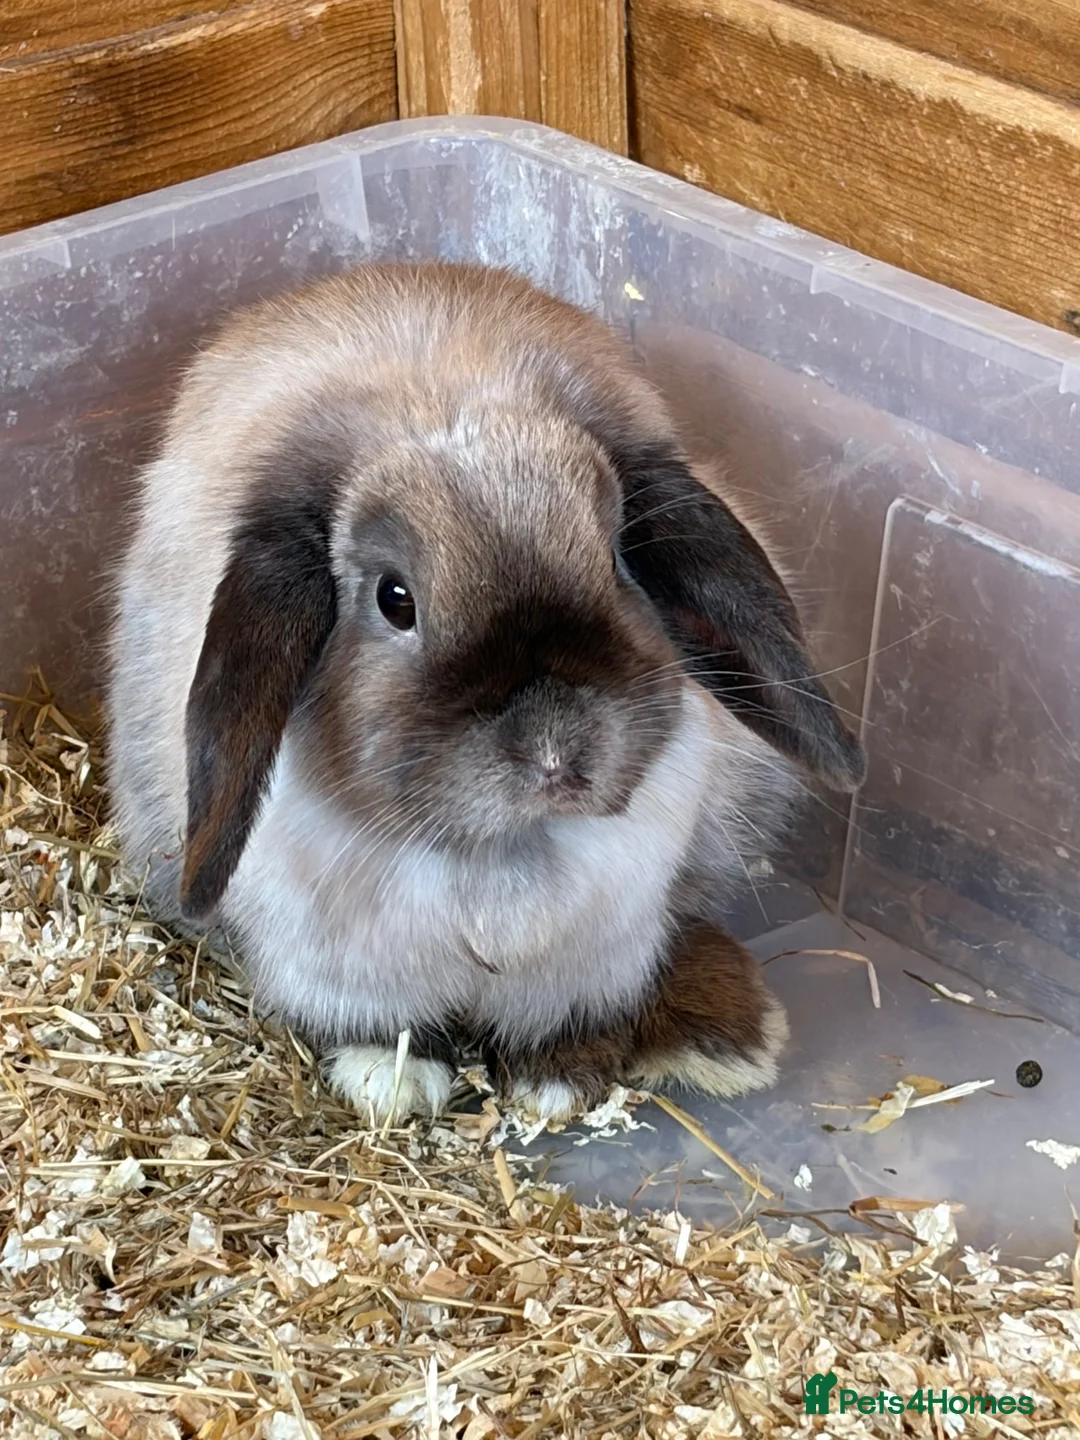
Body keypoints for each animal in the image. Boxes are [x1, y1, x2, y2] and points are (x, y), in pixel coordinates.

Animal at [106, 261, 865, 1125]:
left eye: (617, 560)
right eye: (395, 600)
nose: (555, 754)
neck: (503, 854)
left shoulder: (594, 964)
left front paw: (559, 1079)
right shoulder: (339, 971)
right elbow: (389, 1027)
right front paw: (393, 1079)